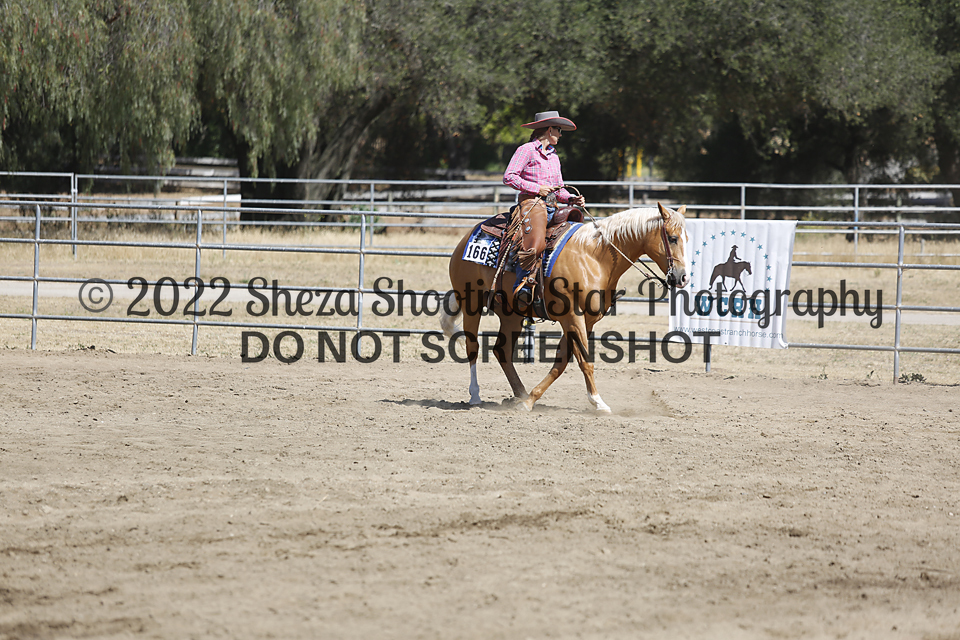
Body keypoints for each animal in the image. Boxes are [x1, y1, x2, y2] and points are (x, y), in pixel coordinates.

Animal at [440, 202, 688, 413]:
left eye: (686, 238)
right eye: (673, 238)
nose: (682, 277)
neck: (595, 257)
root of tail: (467, 237)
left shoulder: (586, 320)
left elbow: (561, 362)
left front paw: (530, 400)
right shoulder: (572, 317)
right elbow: (585, 360)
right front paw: (598, 402)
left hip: (511, 314)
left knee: (502, 351)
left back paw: (520, 394)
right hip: (471, 303)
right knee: (472, 347)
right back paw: (475, 395)